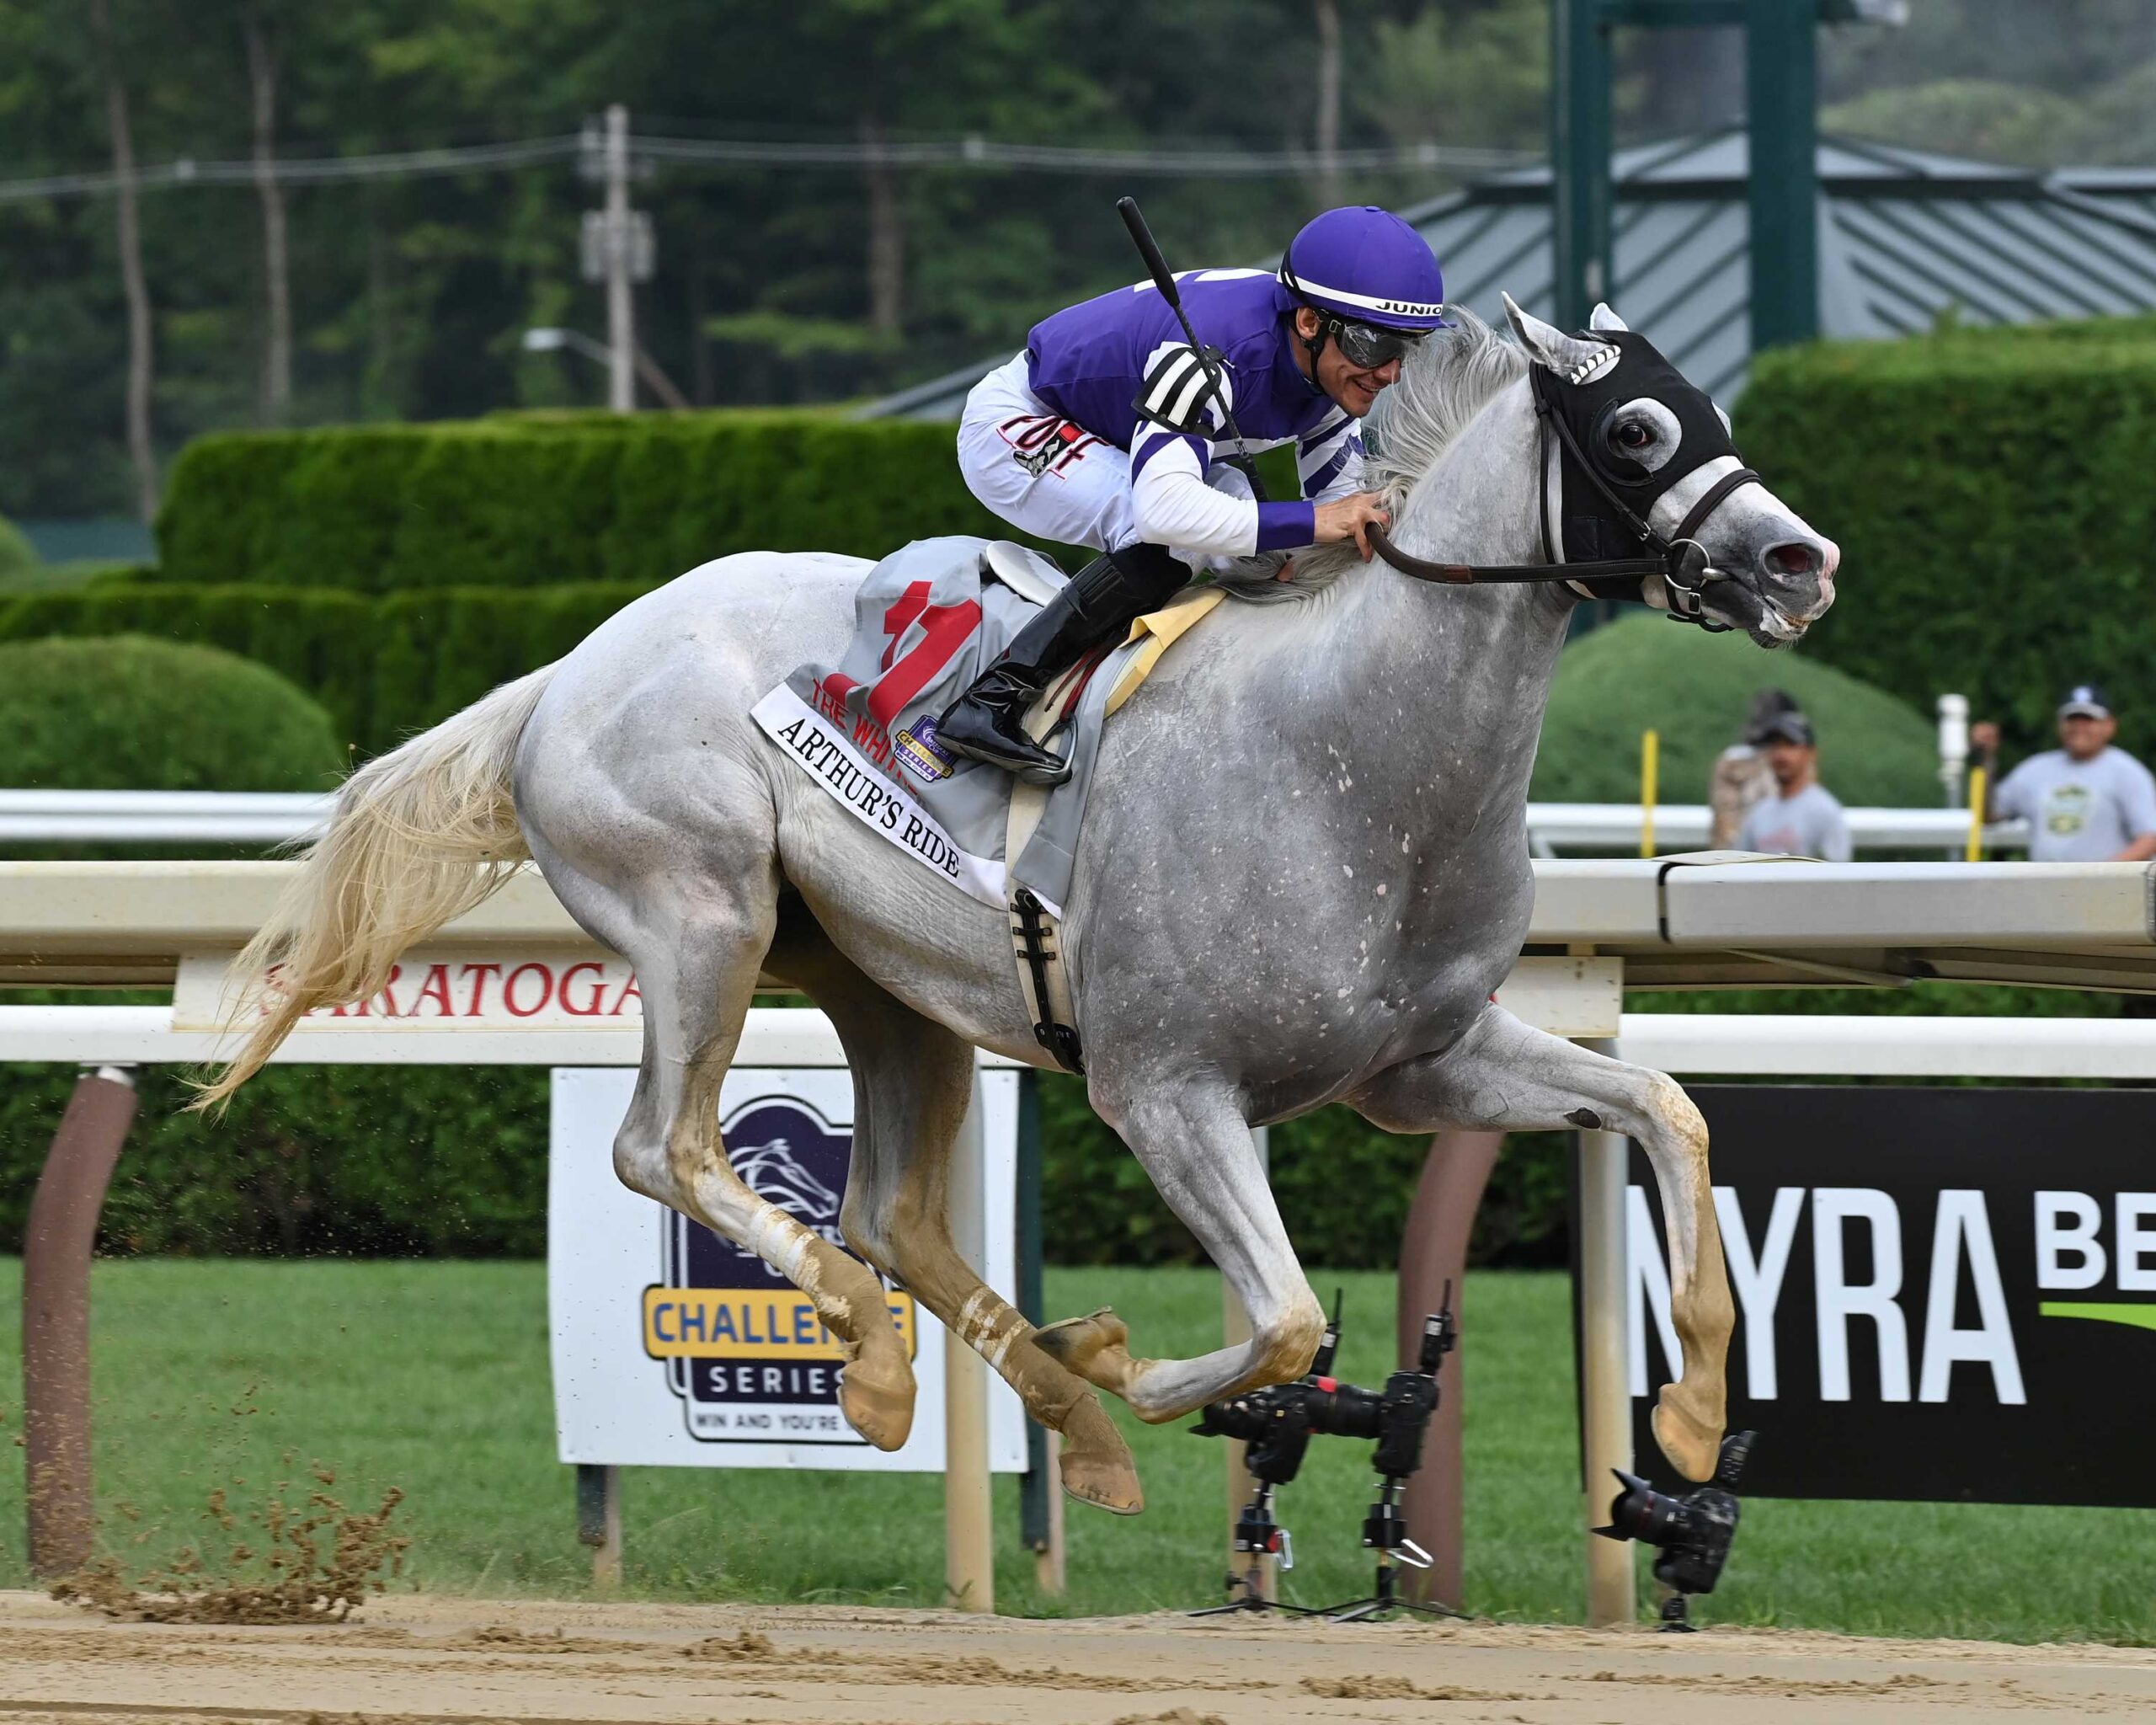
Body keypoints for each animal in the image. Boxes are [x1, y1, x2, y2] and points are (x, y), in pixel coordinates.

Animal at [201, 296, 1837, 1518]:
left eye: (1712, 406)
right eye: (1636, 427)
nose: (1799, 558)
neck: (1347, 752)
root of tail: (570, 665)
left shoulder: (1421, 1063)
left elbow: (1665, 1109)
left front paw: (1691, 1420)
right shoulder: (1166, 1087)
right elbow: (1285, 1319)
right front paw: (1152, 1373)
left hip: (880, 981)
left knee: (888, 1209)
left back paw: (1053, 1410)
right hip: (701, 915)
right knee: (667, 1148)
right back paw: (887, 1360)